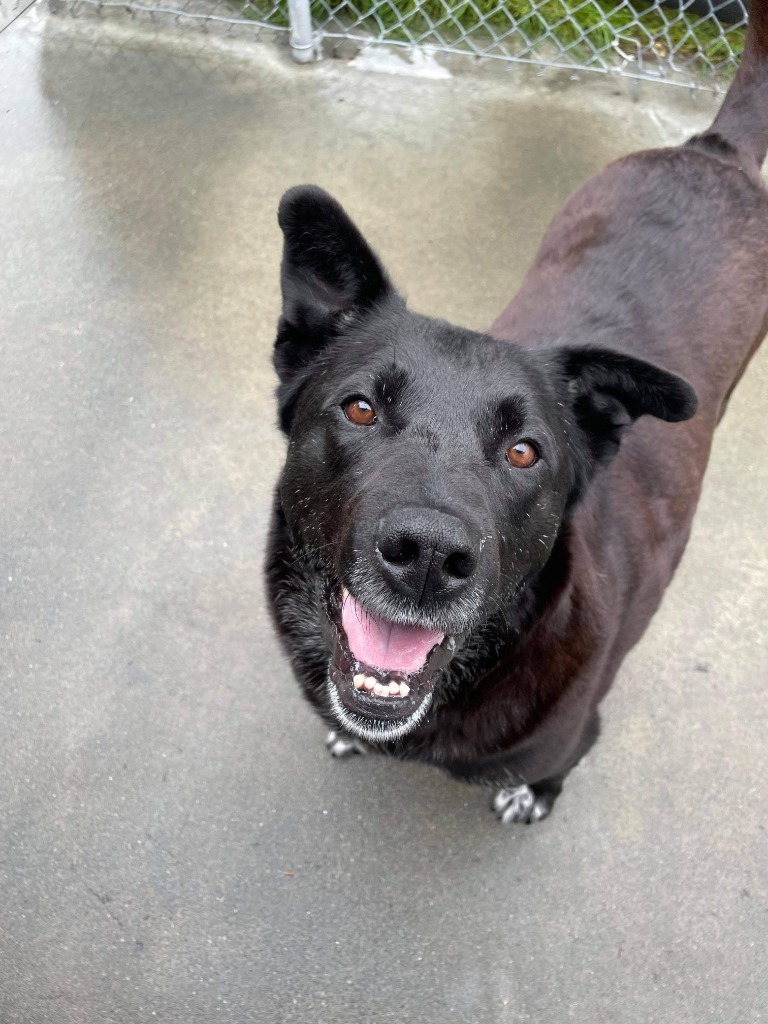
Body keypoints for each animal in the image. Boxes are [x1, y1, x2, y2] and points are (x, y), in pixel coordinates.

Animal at [268, 6, 768, 823]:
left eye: (524, 451)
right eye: (361, 408)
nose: (429, 557)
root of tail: (715, 150)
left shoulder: (576, 732)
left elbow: (551, 771)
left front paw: (533, 797)